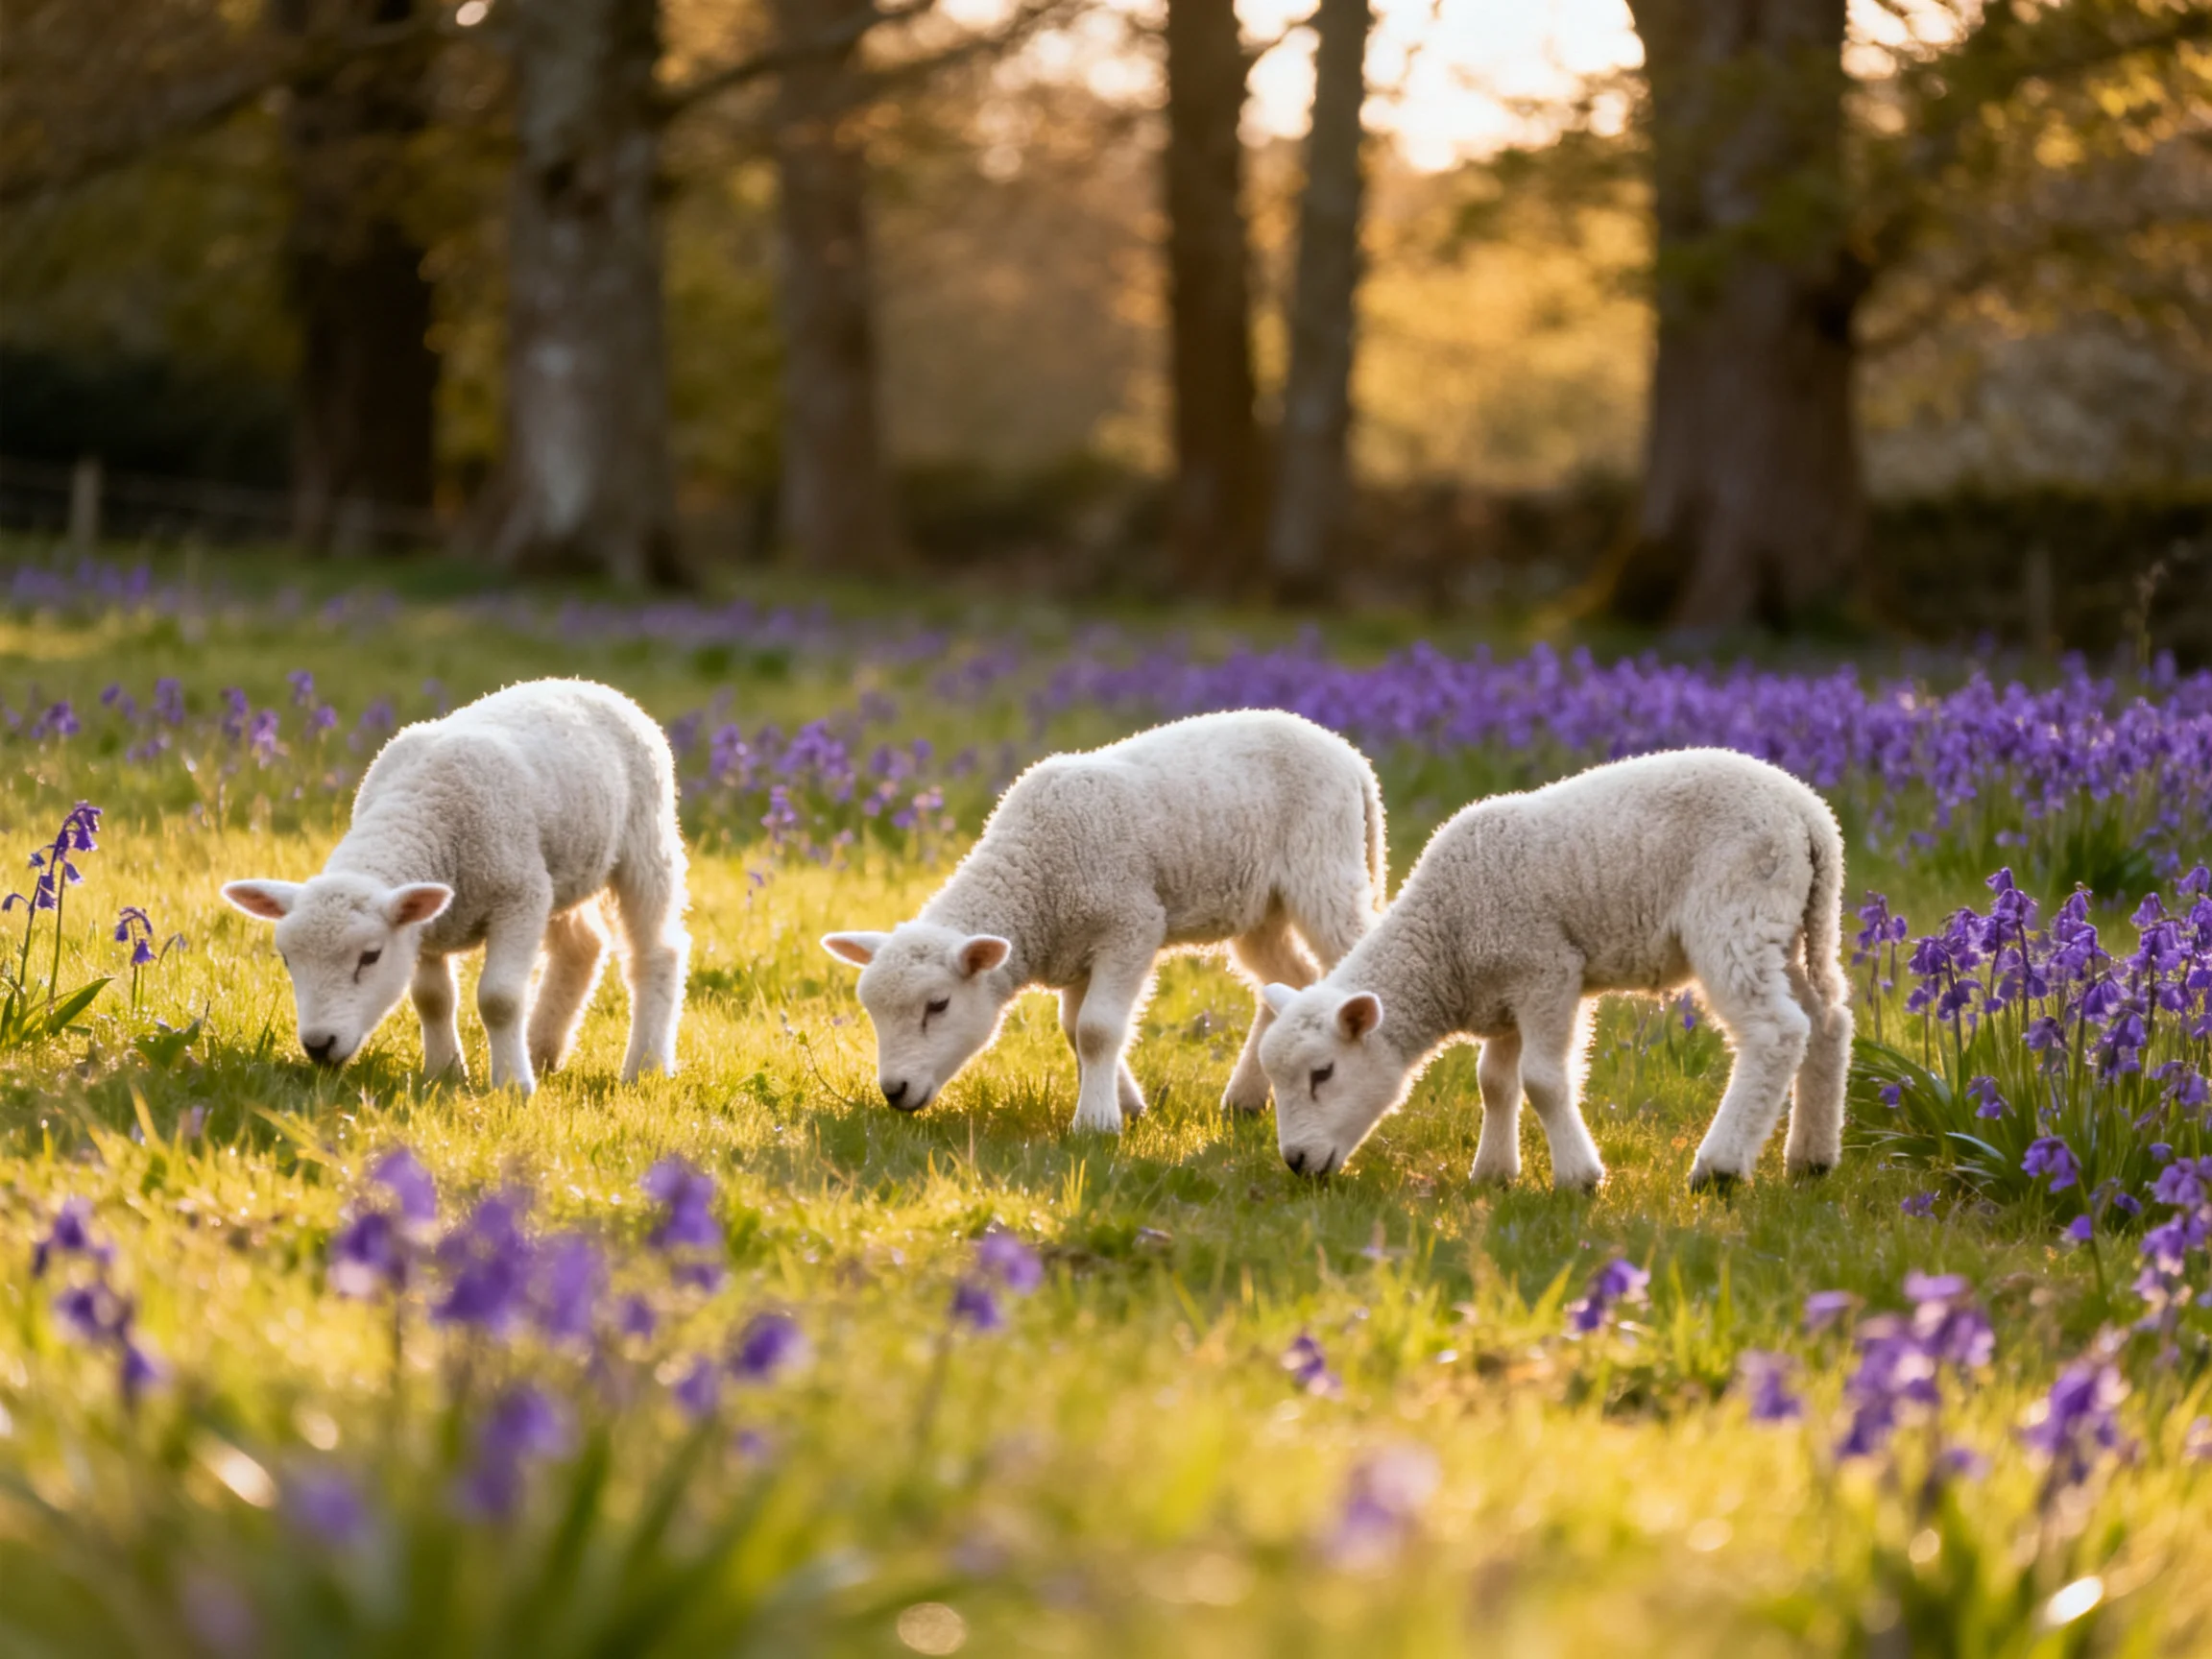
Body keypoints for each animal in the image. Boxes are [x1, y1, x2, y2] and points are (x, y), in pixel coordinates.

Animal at [222, 678, 689, 1095]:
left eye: (370, 957)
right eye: (286, 959)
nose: (319, 1046)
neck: (420, 807)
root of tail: (589, 684)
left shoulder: (519, 896)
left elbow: (499, 999)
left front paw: (513, 1085)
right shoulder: (424, 924)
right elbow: (432, 998)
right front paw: (445, 1072)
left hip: (646, 840)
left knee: (657, 953)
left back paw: (645, 1066)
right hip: (566, 867)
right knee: (583, 945)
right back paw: (542, 1049)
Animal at [822, 709, 1387, 1133]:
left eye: (937, 1005)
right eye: (871, 1011)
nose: (894, 1091)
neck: (1035, 879)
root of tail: (1350, 756)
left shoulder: (1129, 925)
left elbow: (1096, 1029)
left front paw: (1097, 1123)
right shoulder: (1076, 947)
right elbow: (1075, 1031)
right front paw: (1126, 1103)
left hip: (1324, 869)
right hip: (1260, 909)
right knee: (1291, 977)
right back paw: (1245, 1098)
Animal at [1257, 747, 1851, 1191]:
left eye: (1323, 1073)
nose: (1296, 1162)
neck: (1445, 941)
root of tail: (1810, 814)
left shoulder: (1547, 970)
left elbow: (1541, 1080)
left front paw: (1578, 1178)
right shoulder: (1505, 991)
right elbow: (1494, 1082)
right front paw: (1494, 1174)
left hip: (1735, 911)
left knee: (1776, 1032)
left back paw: (1721, 1166)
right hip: (1787, 924)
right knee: (1826, 1021)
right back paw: (1812, 1159)